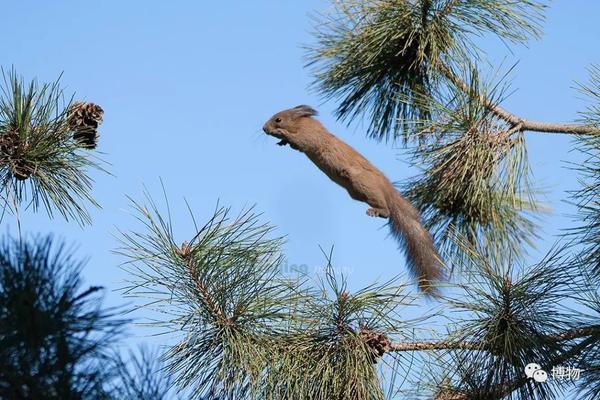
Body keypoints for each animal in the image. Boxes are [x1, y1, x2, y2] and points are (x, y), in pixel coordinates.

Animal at [264, 104, 446, 296]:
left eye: (278, 119)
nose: (264, 129)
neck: (308, 124)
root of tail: (386, 186)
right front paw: (282, 142)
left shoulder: (309, 138)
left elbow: (299, 141)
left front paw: (282, 134)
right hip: (356, 192)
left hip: (362, 183)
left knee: (386, 210)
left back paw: (376, 211)